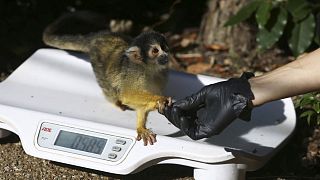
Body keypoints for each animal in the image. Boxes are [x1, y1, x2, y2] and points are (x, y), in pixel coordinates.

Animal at [44, 14, 172, 146]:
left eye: (164, 48)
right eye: (155, 51)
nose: (165, 55)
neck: (149, 68)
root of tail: (98, 36)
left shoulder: (161, 75)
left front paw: (142, 125)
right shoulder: (135, 73)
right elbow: (127, 95)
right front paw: (159, 100)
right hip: (97, 62)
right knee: (111, 88)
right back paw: (116, 102)